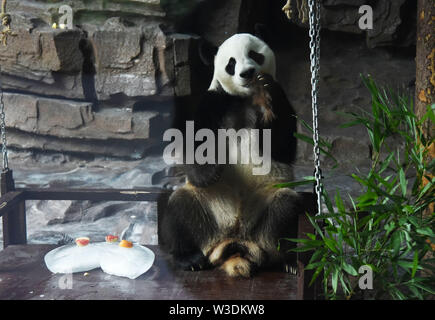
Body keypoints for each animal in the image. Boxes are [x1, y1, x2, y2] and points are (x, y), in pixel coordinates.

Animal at [160, 33, 304, 278]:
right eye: (231, 63)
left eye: (254, 54)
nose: (247, 73)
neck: (244, 98)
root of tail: (235, 241)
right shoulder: (214, 101)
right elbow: (195, 141)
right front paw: (211, 170)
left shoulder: (280, 101)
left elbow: (282, 146)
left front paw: (268, 91)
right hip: (208, 210)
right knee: (180, 208)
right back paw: (189, 258)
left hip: (263, 209)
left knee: (286, 210)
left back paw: (288, 261)